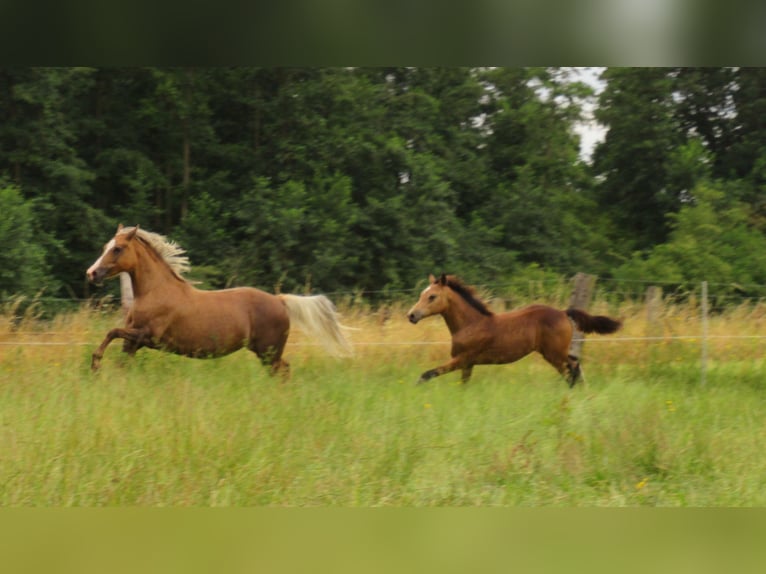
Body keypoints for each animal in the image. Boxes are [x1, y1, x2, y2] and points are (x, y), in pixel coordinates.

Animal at [86, 227, 352, 376]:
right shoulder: (134, 341)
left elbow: (111, 332)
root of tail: (279, 300)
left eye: (118, 249)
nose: (92, 273)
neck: (155, 292)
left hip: (269, 351)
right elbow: (121, 359)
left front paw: (95, 364)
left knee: (283, 371)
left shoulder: (149, 336)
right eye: (105, 246)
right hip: (266, 352)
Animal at [408, 274, 624, 388]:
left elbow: (428, 374)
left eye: (432, 297)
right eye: (422, 294)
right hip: (557, 352)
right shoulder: (468, 364)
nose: (412, 315)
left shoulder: (462, 359)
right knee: (575, 366)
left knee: (570, 370)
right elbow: (464, 385)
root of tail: (564, 312)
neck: (471, 324)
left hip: (554, 354)